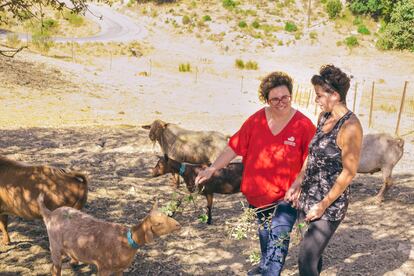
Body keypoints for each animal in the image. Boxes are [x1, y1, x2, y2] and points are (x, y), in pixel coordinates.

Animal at [38, 194, 180, 276]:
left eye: (167, 215)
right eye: (158, 223)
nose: (178, 225)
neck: (127, 240)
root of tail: (49, 214)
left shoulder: (120, 269)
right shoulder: (103, 268)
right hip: (55, 245)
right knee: (55, 268)